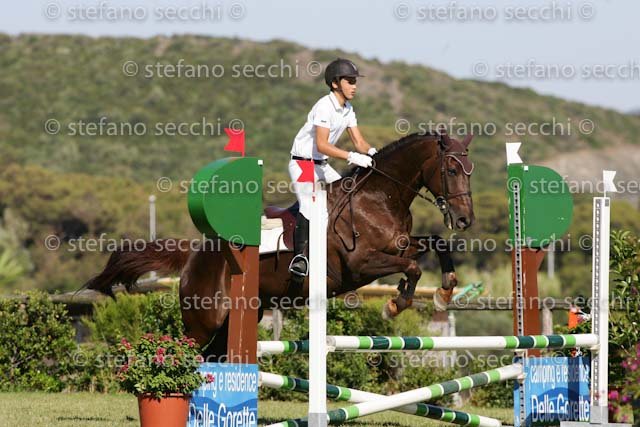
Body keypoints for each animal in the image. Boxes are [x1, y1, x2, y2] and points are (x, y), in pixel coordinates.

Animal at [83, 130, 475, 359]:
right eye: (451, 170)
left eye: (469, 170)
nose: (465, 220)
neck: (378, 196)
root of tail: (197, 252)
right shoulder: (362, 264)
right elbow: (411, 267)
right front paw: (395, 305)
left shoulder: (400, 245)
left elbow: (435, 245)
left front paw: (445, 290)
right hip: (203, 321)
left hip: (240, 316)